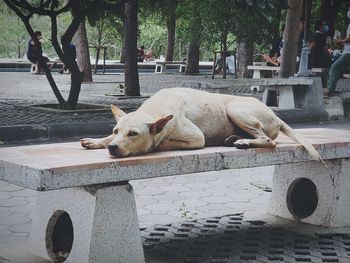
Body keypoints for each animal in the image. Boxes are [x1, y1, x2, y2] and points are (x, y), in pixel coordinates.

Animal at [80, 87, 322, 162]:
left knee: (268, 140)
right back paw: (234, 138)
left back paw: (243, 141)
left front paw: (157, 144)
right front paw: (97, 141)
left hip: (235, 109)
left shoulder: (196, 138)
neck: (156, 108)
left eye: (133, 134)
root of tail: (277, 116)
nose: (113, 148)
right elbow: (105, 138)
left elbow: (164, 142)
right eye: (116, 130)